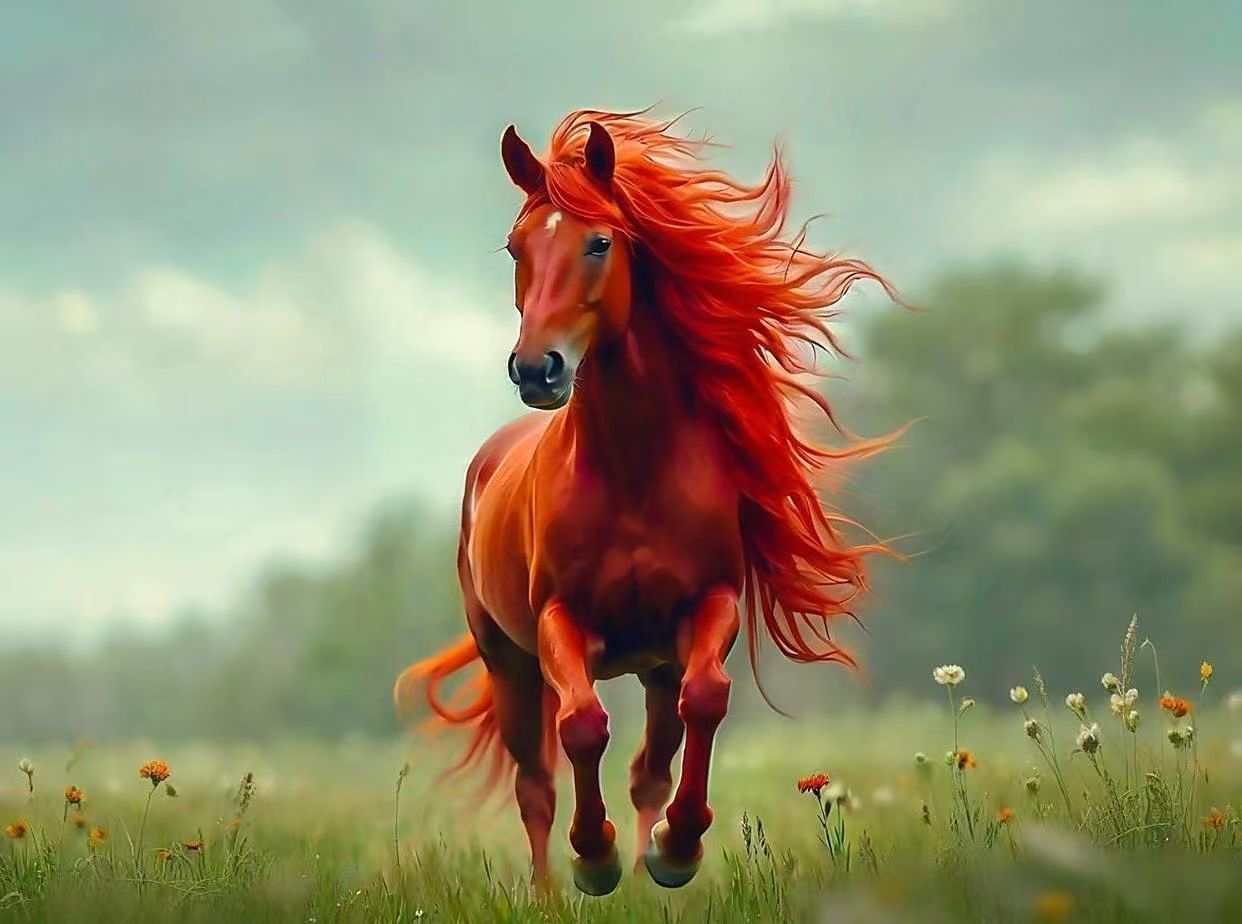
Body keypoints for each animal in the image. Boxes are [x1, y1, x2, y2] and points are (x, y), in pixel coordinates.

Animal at [394, 107, 899, 897]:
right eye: (514, 247)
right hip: (508, 661)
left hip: (651, 665)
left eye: (600, 241)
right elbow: (582, 726)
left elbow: (706, 701)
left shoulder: (706, 608)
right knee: (536, 785)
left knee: (648, 769)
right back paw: (552, 895)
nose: (537, 369)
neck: (633, 472)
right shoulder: (558, 622)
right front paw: (594, 857)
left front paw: (675, 848)